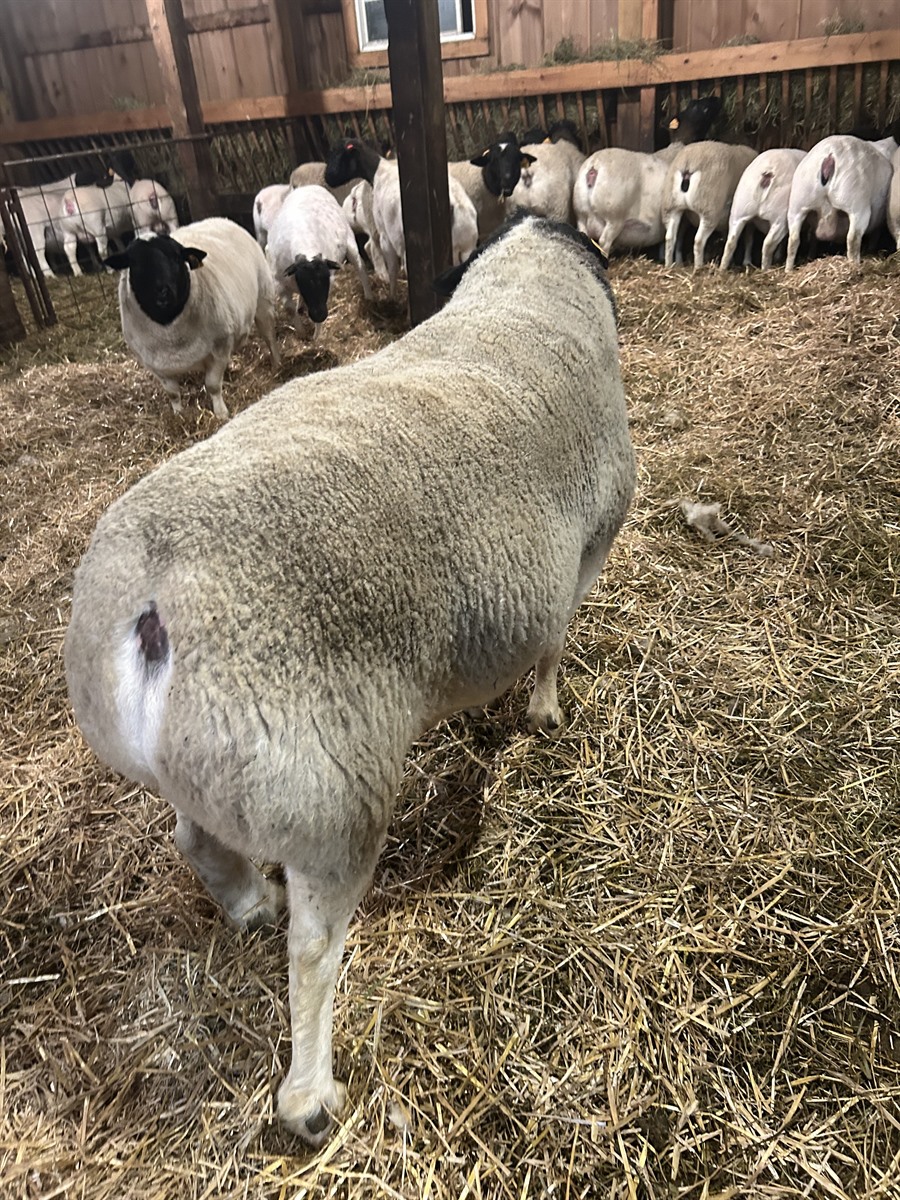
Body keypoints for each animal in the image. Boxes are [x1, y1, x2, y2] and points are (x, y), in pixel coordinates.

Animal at [103, 217, 279, 419]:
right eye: (135, 263)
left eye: (176, 257)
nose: (162, 292)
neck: (169, 328)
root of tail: (219, 219)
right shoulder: (155, 365)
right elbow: (172, 393)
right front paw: (178, 415)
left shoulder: (220, 346)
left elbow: (212, 385)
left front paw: (221, 413)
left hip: (263, 301)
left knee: (269, 337)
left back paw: (277, 365)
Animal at [265, 184, 372, 327]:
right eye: (303, 281)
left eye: (325, 280)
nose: (319, 315)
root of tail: (308, 186)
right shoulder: (279, 285)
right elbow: (290, 310)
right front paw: (301, 330)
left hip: (350, 242)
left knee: (360, 266)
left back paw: (369, 296)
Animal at [573, 97, 722, 259]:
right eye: (703, 109)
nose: (718, 100)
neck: (679, 146)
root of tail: (594, 167)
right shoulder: (682, 218)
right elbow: (678, 242)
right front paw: (677, 261)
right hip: (613, 218)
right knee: (604, 242)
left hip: (581, 216)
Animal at [785, 134, 898, 269]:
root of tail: (829, 157)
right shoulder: (878, 220)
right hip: (855, 201)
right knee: (853, 238)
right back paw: (855, 265)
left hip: (798, 201)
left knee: (793, 240)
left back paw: (789, 270)